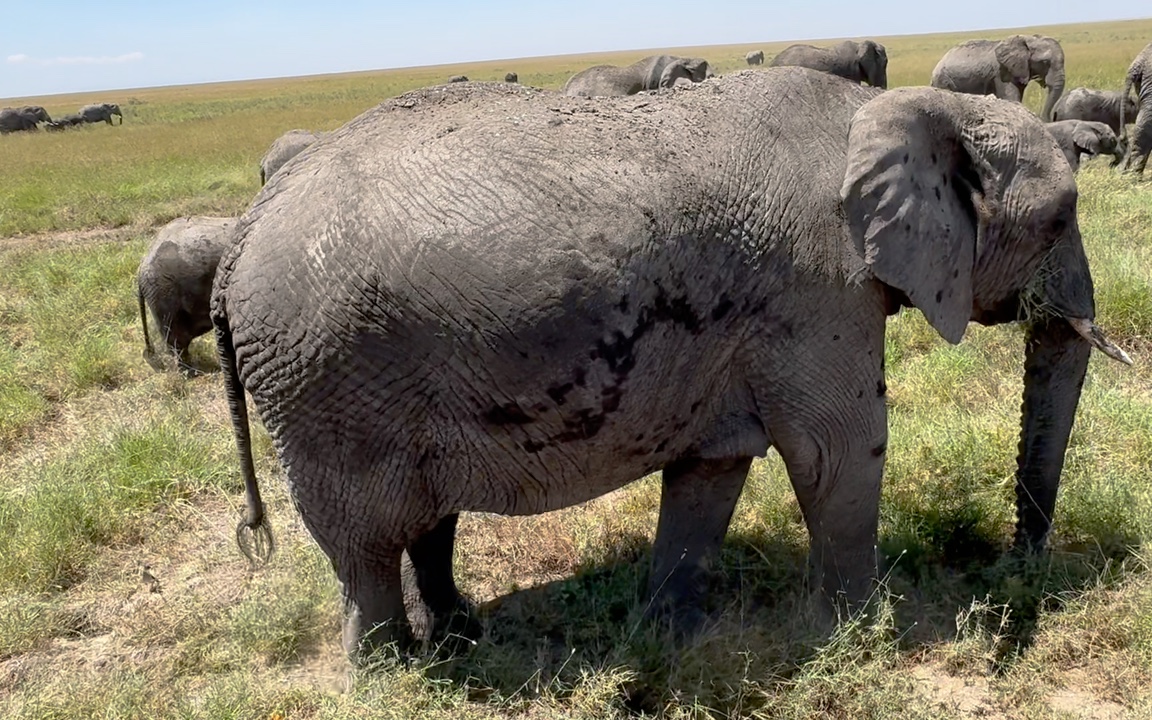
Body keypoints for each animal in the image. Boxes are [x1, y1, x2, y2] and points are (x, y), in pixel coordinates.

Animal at [211, 70, 1128, 658]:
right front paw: (864, 634)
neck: (895, 106)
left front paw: (671, 636)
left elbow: (715, 465)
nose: (1015, 575)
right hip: (326, 381)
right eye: (1060, 218)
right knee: (364, 543)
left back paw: (459, 638)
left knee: (427, 522)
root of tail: (241, 238)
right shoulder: (816, 287)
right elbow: (836, 450)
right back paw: (397, 673)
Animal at [930, 34, 1064, 120]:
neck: (1028, 38)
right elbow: (1012, 98)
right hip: (943, 81)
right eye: (1045, 62)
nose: (1047, 118)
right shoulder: (1001, 72)